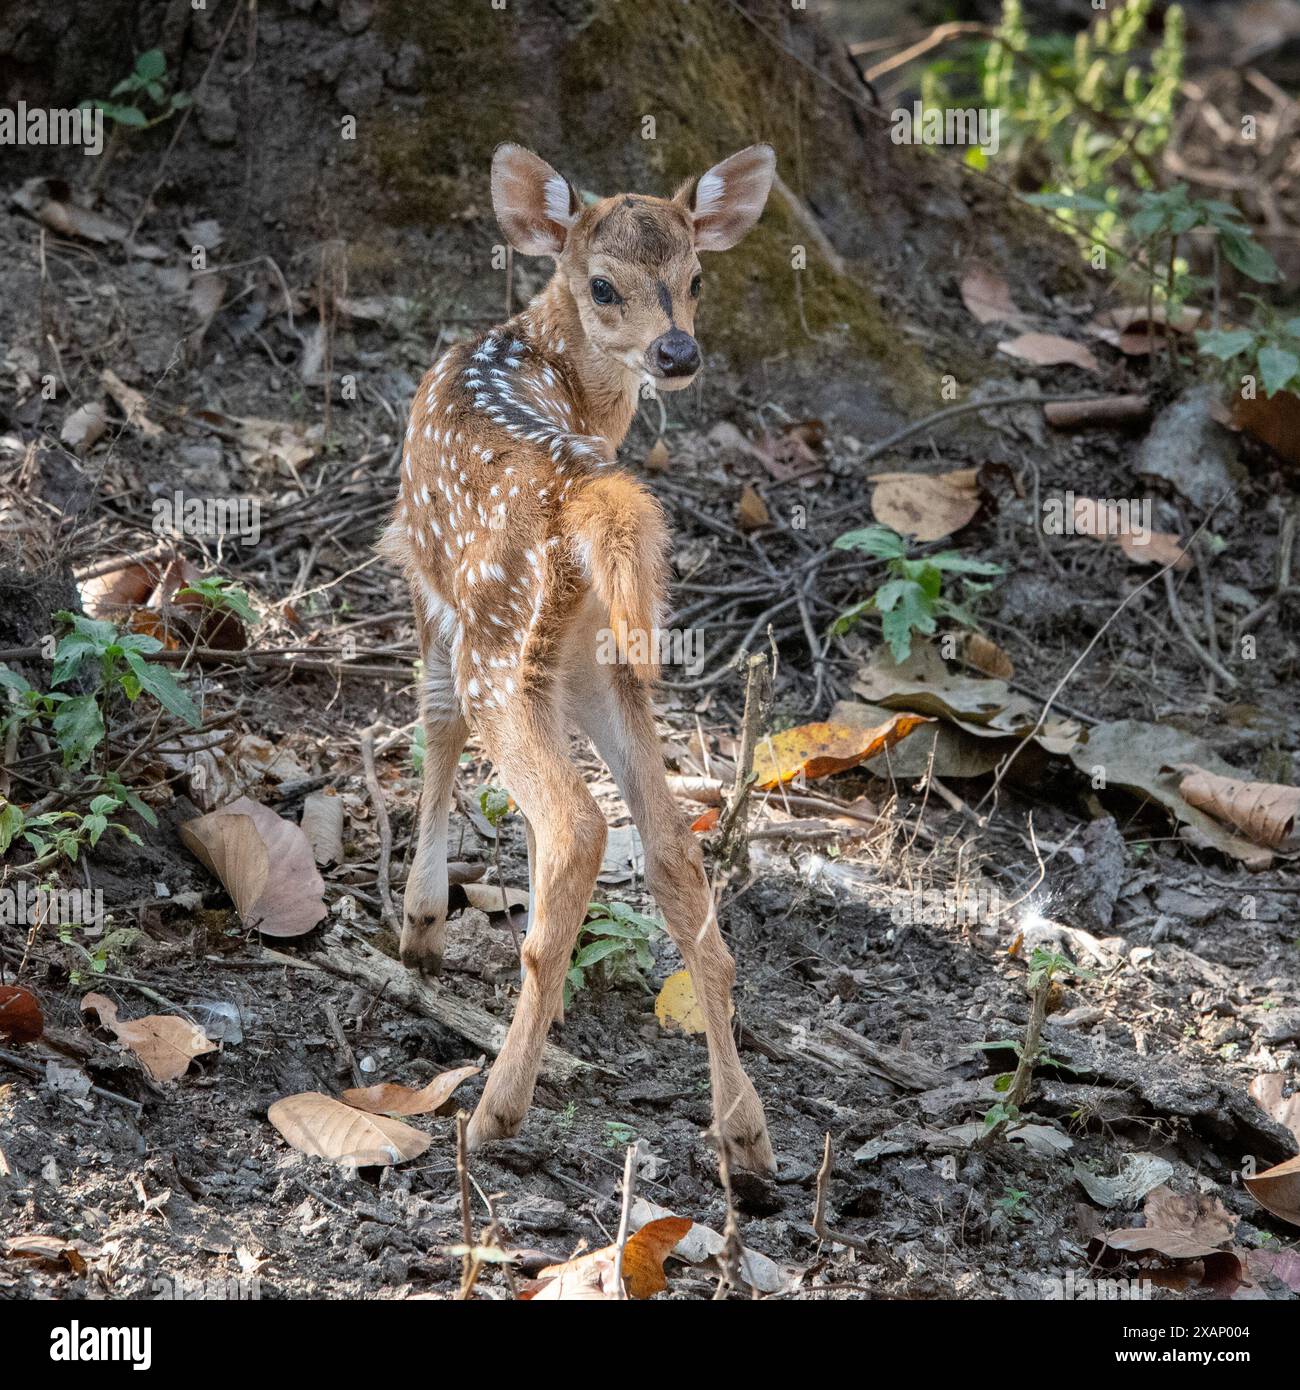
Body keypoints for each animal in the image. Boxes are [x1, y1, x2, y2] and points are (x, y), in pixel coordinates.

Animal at [380, 142, 777, 1172]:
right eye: (605, 284)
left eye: (695, 279)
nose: (678, 353)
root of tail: (594, 497)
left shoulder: (420, 567)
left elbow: (432, 723)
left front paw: (421, 926)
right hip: (607, 662)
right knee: (675, 851)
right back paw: (745, 1135)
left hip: (500, 642)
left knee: (576, 826)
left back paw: (495, 1108)